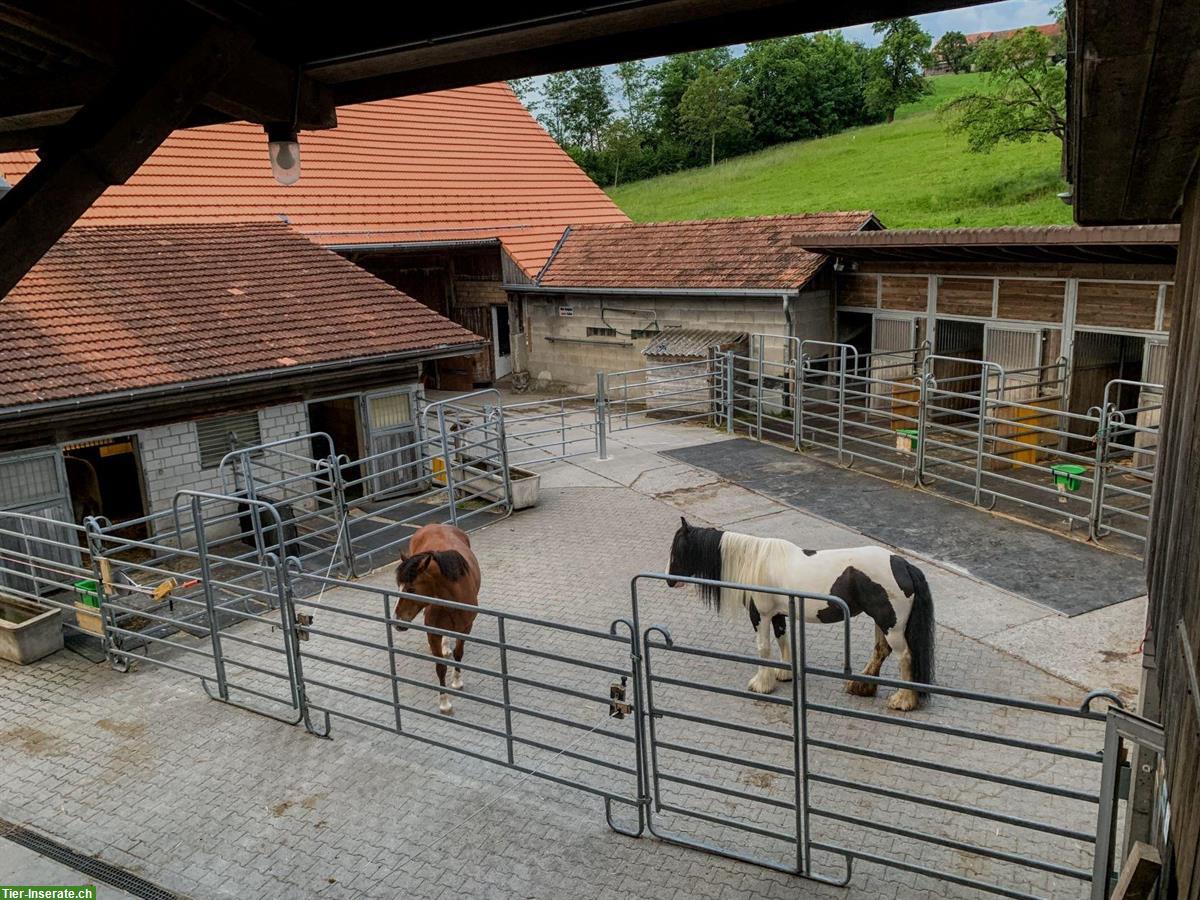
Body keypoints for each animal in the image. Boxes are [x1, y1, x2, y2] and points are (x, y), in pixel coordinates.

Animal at [398, 525, 482, 715]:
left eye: (411, 589)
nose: (398, 620)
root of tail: (434, 525)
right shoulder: (433, 633)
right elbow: (440, 667)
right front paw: (445, 703)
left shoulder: (466, 628)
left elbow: (459, 654)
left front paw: (457, 681)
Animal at [667, 520, 936, 710]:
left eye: (679, 549)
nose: (670, 581)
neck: (756, 562)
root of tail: (903, 564)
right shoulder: (777, 614)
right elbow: (783, 639)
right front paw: (784, 674)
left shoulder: (760, 615)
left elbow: (764, 647)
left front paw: (761, 684)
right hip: (882, 621)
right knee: (881, 650)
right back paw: (862, 686)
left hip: (891, 624)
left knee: (905, 657)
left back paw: (903, 700)